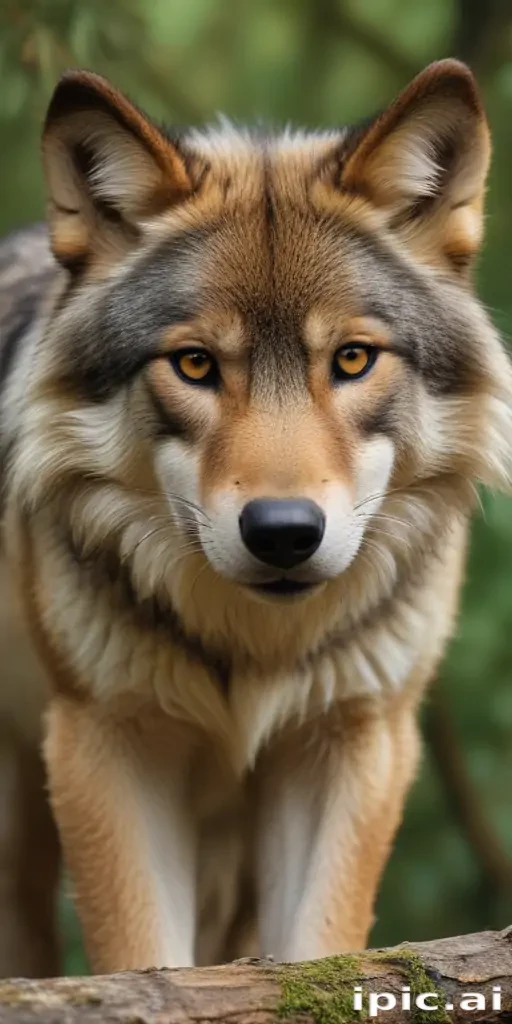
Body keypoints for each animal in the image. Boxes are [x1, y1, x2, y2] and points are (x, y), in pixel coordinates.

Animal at [0, 59, 510, 976]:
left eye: (352, 359)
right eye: (196, 365)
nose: (283, 532)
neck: (256, 649)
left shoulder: (353, 741)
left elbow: (317, 960)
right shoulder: (107, 743)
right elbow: (143, 964)